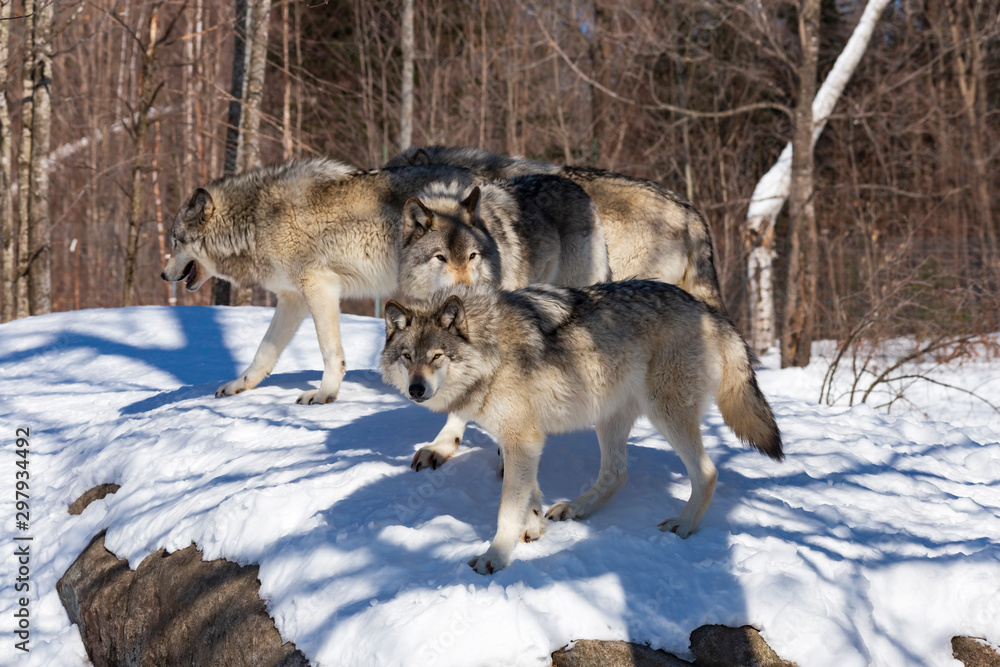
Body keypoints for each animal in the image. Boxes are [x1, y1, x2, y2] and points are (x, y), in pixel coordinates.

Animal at [161, 157, 487, 405]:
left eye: (176, 241)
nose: (163, 275)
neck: (254, 221)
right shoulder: (291, 298)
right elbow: (264, 351)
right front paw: (239, 384)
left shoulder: (319, 285)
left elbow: (330, 351)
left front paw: (324, 393)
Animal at [379, 280, 783, 574]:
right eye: (407, 357)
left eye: (437, 357)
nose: (417, 389)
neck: (490, 348)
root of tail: (711, 312)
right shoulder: (522, 440)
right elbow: (529, 494)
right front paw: (533, 526)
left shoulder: (523, 438)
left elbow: (506, 509)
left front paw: (496, 556)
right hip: (608, 417)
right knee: (617, 472)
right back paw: (576, 508)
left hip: (665, 414)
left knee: (707, 472)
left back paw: (683, 525)